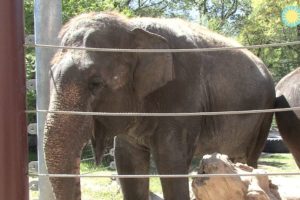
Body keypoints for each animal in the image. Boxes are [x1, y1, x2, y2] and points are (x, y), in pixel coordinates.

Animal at [43, 12, 276, 200]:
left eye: (95, 83)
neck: (132, 27)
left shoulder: (182, 94)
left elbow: (170, 161)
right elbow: (127, 161)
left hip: (265, 114)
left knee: (250, 157)